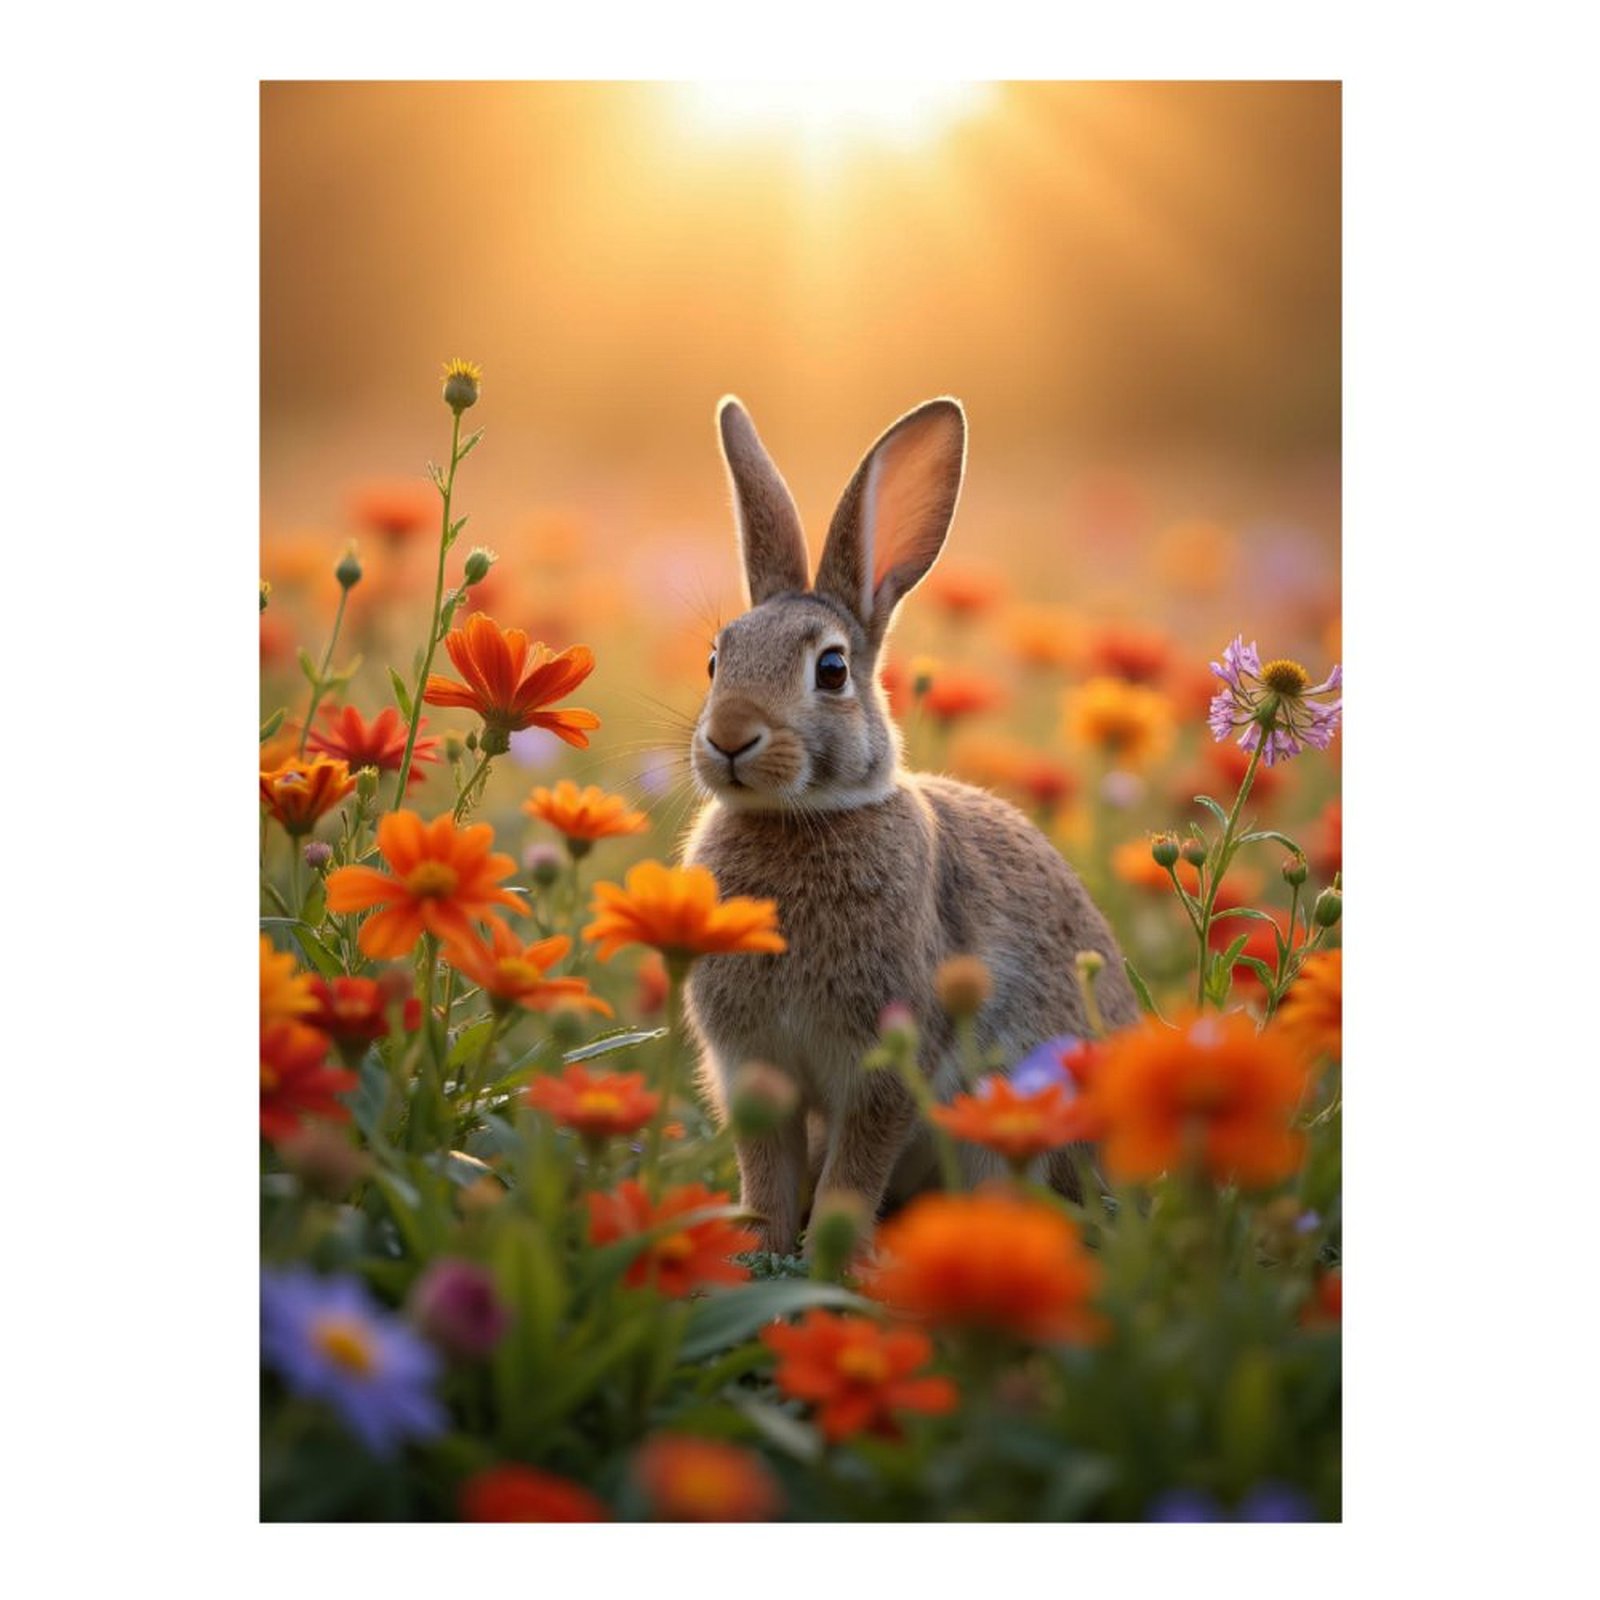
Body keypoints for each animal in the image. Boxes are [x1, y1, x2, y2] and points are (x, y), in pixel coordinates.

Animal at [681, 395, 1140, 1256]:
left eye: (831, 670)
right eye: (716, 660)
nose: (728, 737)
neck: (801, 817)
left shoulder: (888, 1068)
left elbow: (855, 1171)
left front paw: (833, 1257)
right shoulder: (752, 1067)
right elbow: (766, 1171)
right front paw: (761, 1251)